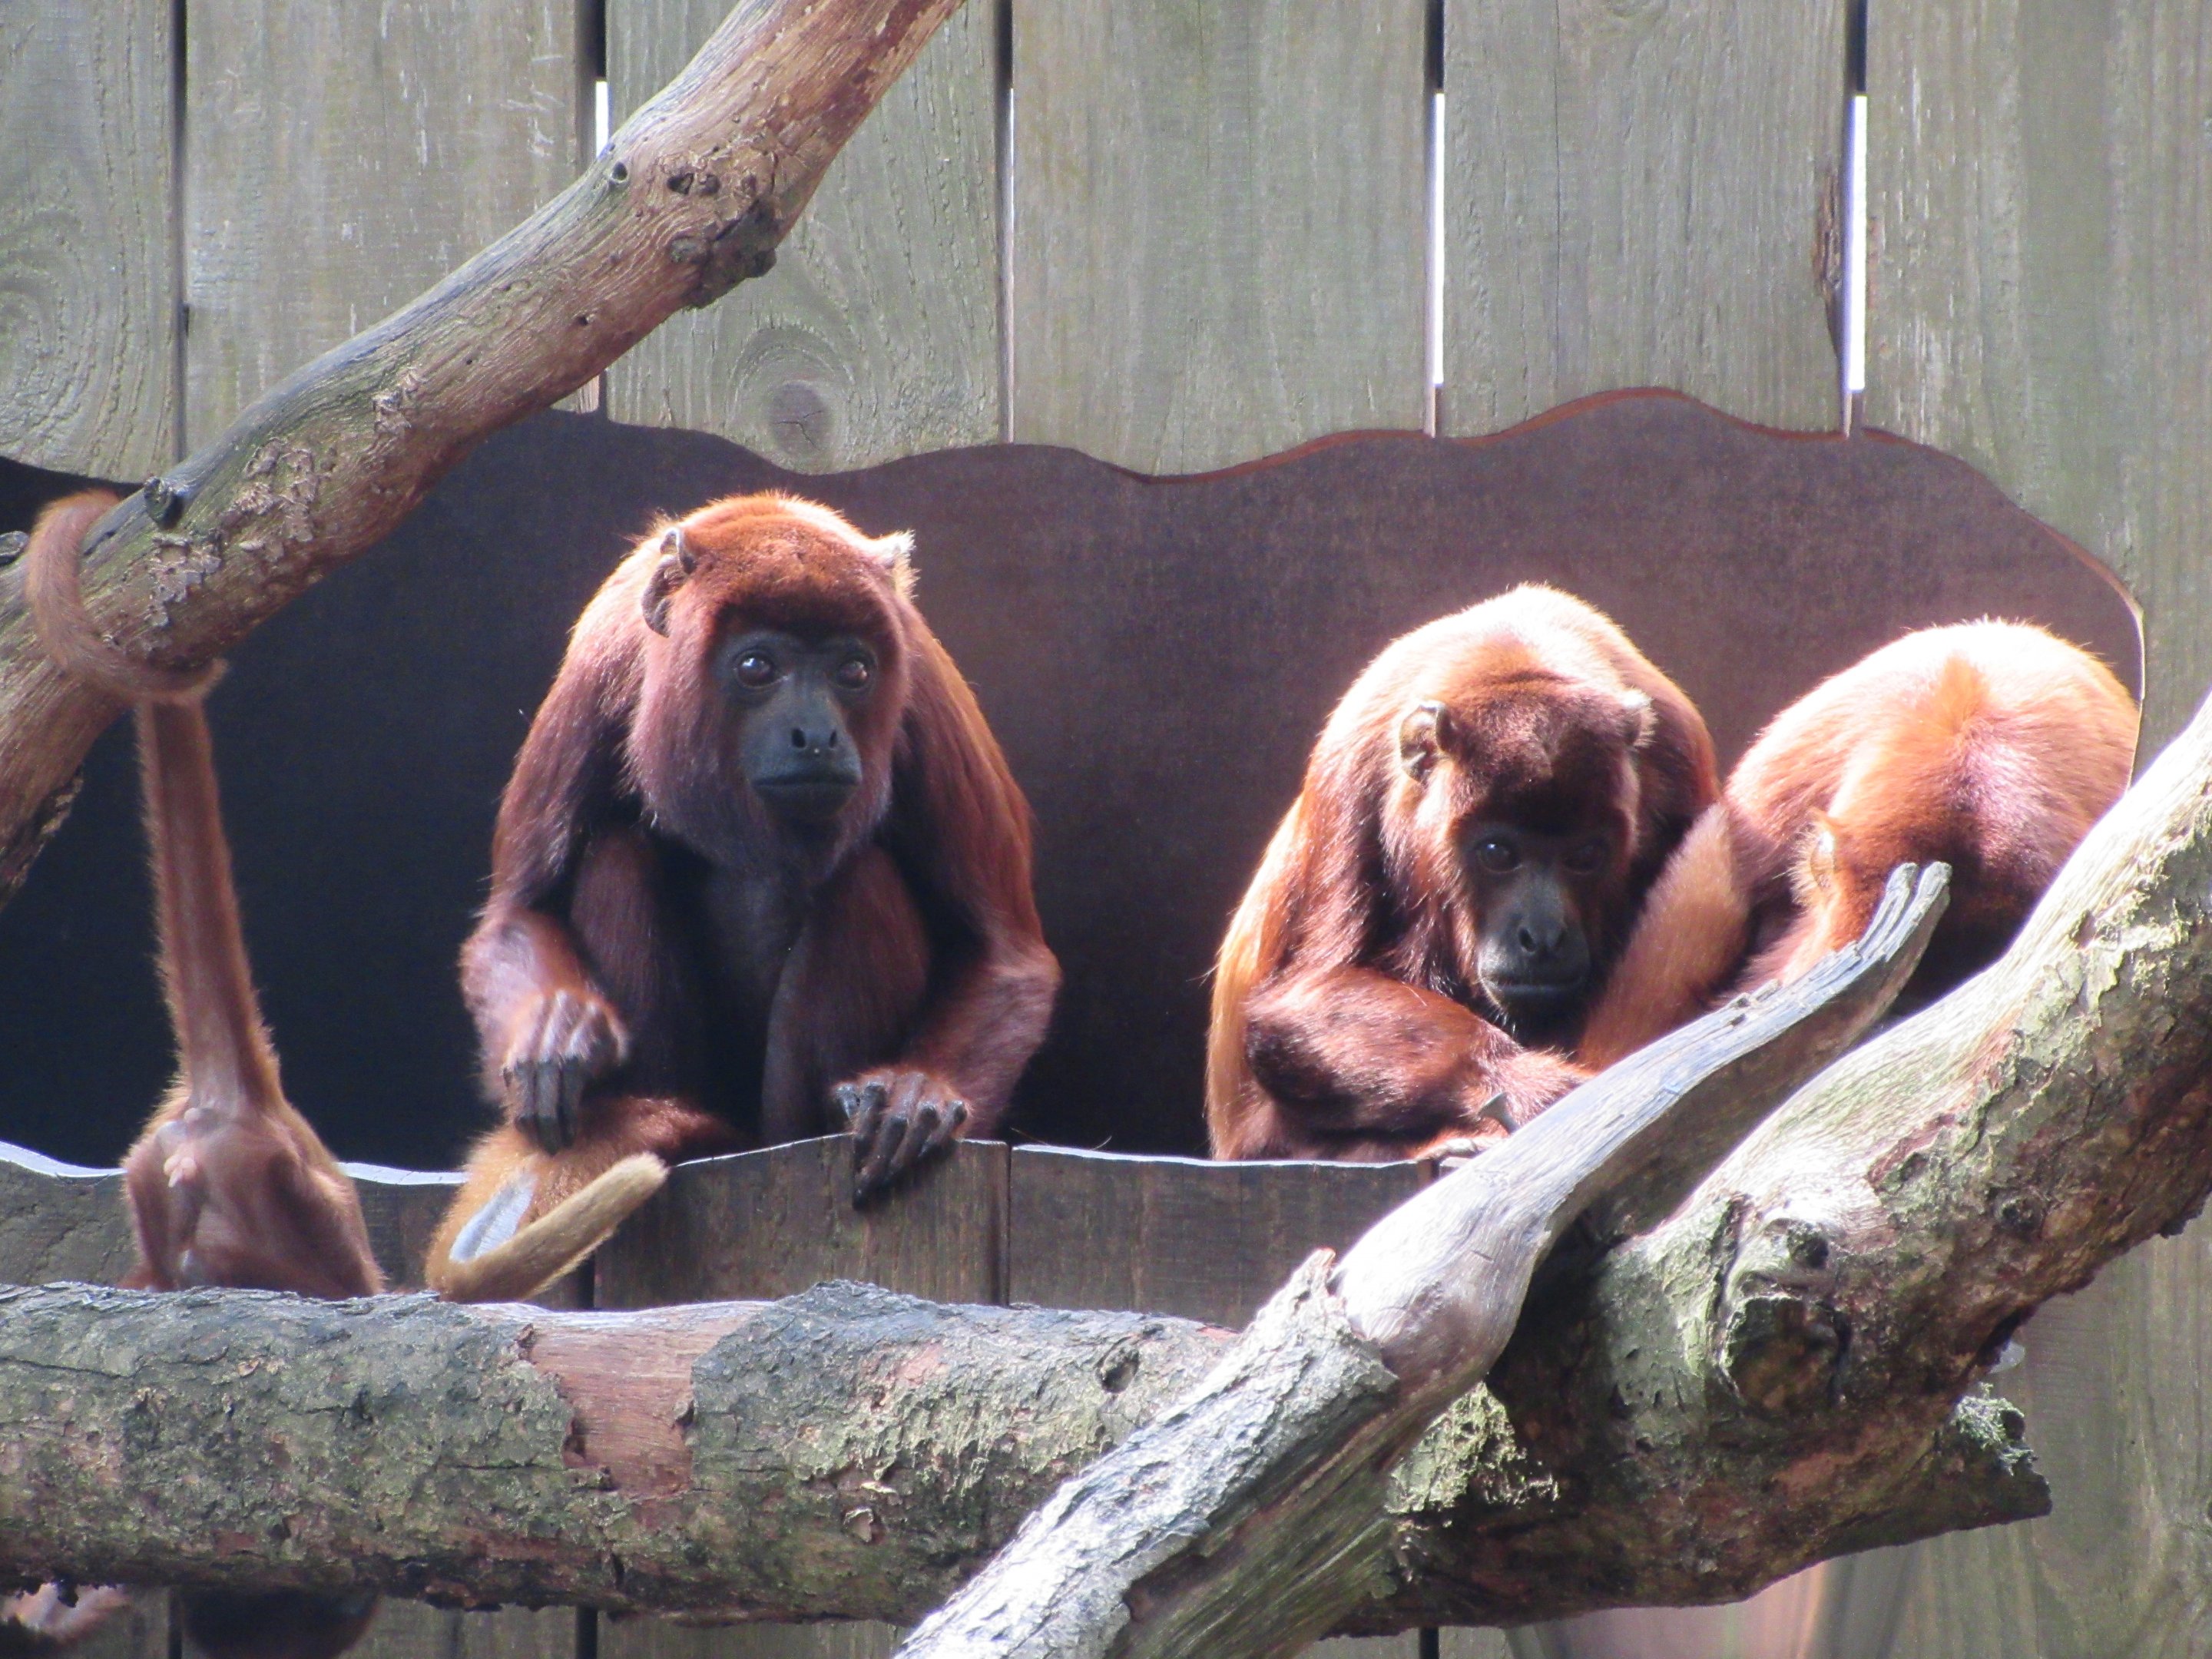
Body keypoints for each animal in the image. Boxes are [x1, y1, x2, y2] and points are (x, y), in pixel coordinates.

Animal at [426, 493, 1059, 1302]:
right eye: (757, 666)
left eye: (854, 669)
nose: (816, 734)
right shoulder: (597, 672)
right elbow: (518, 912)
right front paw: (555, 1032)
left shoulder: (921, 683)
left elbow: (1004, 949)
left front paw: (919, 1089)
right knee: (616, 857)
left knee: (866, 877)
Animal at [1207, 584, 1720, 1162]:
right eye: (1497, 852)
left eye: (1587, 855)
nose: (1542, 935)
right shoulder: (1349, 770)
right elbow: (1302, 998)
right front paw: (1528, 1085)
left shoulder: (1680, 756)